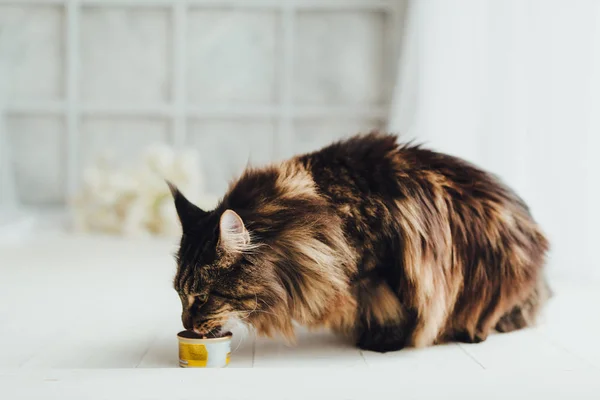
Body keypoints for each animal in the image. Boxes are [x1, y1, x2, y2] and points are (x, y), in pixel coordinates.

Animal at [168, 133, 548, 352]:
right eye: (180, 296)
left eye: (203, 298)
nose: (186, 324)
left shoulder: (377, 272)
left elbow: (391, 309)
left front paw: (382, 340)